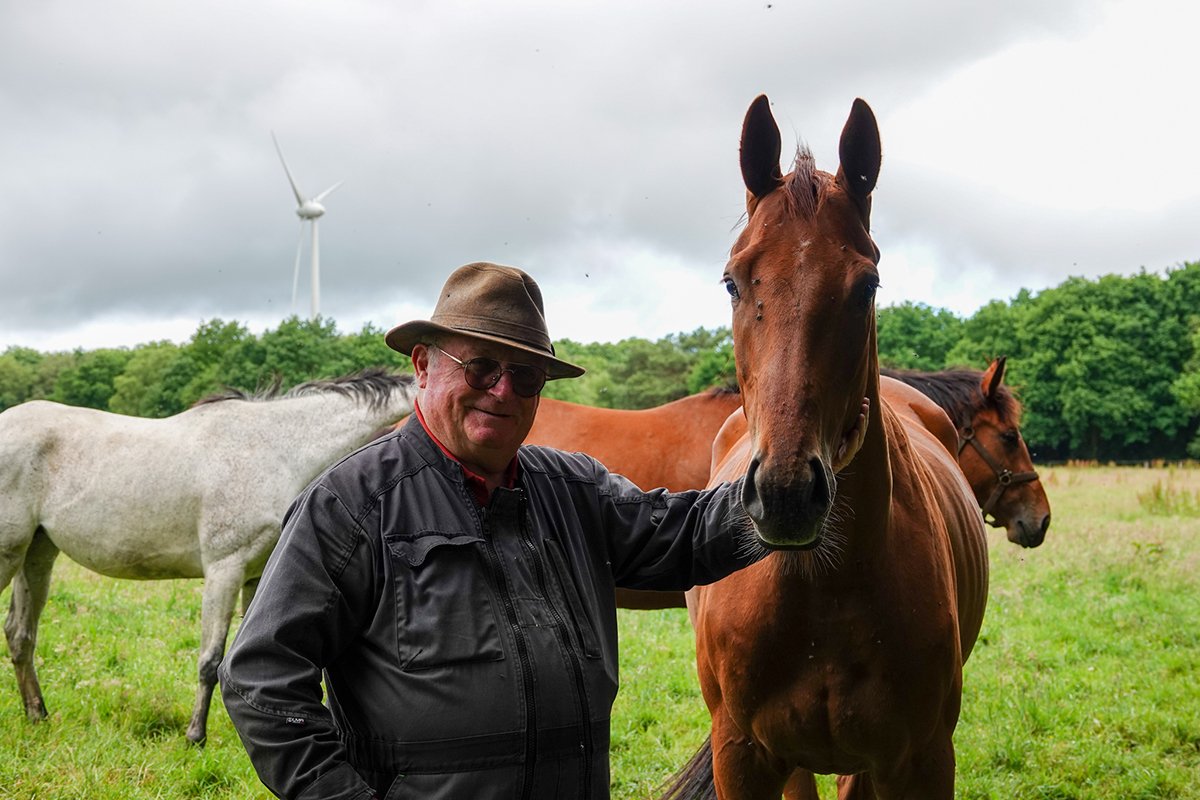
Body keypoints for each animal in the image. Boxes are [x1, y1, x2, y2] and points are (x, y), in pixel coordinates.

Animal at [0, 369, 417, 745]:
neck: (276, 449)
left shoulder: (258, 577)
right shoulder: (224, 571)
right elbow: (211, 661)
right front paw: (195, 736)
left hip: (36, 555)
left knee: (21, 635)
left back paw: (38, 715)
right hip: (9, 556)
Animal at [662, 96, 988, 798]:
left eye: (867, 285)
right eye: (733, 282)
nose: (786, 494)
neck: (822, 593)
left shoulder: (918, 759)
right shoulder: (744, 756)